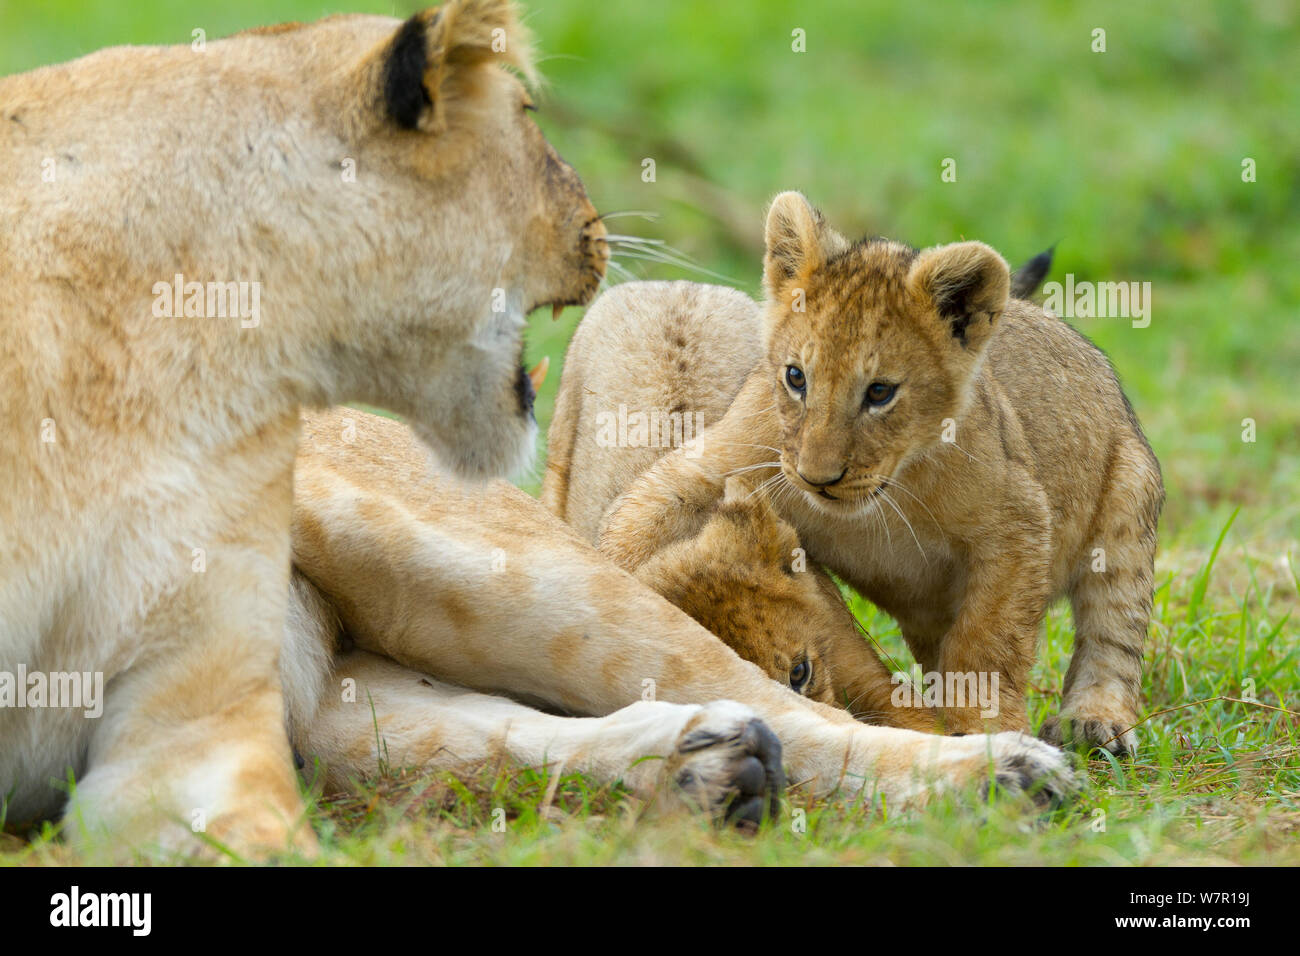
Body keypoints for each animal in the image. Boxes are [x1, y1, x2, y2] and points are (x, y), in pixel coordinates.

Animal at [597, 193, 1164, 754]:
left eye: (879, 392)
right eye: (796, 377)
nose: (817, 477)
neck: (886, 493)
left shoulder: (1018, 522)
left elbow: (988, 643)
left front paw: (986, 731)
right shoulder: (718, 462)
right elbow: (636, 522)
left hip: (1128, 505)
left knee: (1113, 631)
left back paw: (1095, 721)